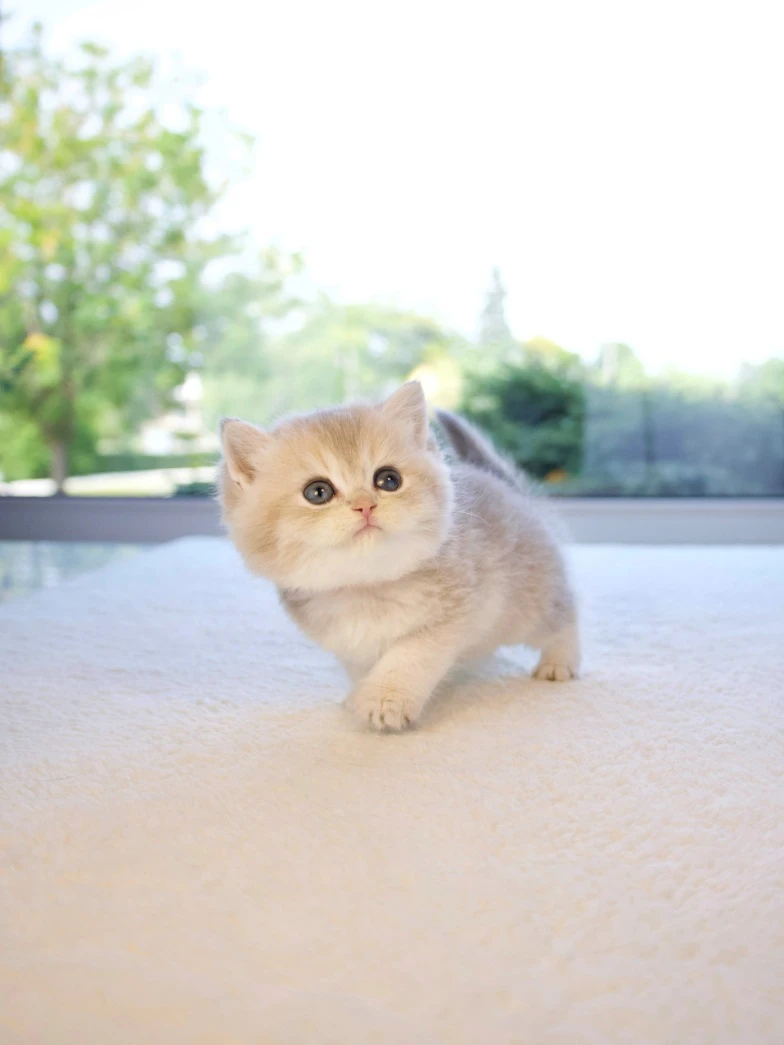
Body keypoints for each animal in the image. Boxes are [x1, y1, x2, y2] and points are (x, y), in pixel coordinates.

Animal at [219, 381, 580, 731]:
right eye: (317, 492)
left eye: (388, 479)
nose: (365, 505)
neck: (367, 587)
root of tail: (507, 486)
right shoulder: (350, 646)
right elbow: (361, 668)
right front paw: (358, 695)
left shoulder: (454, 613)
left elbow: (409, 656)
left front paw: (385, 700)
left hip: (527, 604)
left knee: (562, 619)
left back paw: (559, 662)